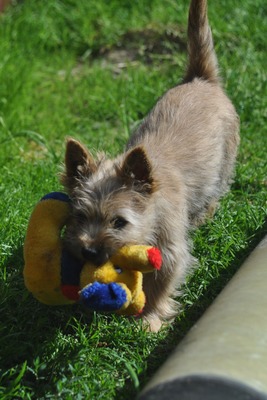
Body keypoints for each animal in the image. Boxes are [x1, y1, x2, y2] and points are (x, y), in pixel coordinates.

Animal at [60, 0, 241, 332]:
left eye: (119, 222)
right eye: (79, 216)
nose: (88, 251)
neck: (153, 208)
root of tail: (199, 78)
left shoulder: (170, 253)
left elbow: (160, 285)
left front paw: (150, 319)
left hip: (223, 165)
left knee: (215, 193)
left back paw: (203, 215)